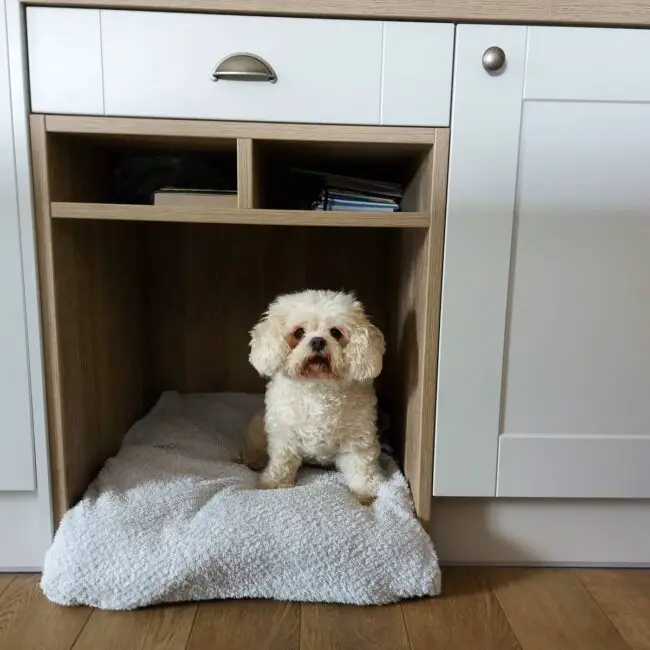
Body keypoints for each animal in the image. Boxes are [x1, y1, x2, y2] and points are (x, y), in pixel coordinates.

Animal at [243, 286, 384, 504]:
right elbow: (282, 463)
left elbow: (361, 469)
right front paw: (273, 484)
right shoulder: (285, 437)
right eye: (299, 332)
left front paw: (364, 493)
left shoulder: (357, 440)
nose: (318, 341)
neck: (318, 387)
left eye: (335, 332)